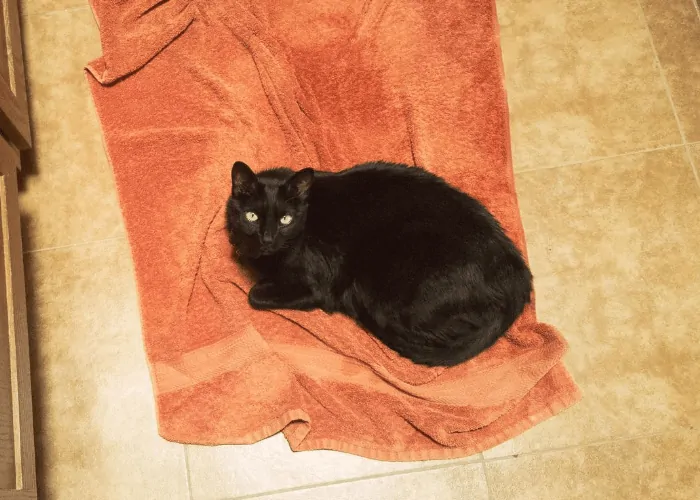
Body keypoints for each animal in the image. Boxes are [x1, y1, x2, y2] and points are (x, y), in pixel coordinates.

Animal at [227, 161, 532, 368]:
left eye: (285, 220)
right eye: (252, 216)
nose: (267, 238)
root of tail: (517, 276)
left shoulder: (317, 285)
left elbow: (254, 294)